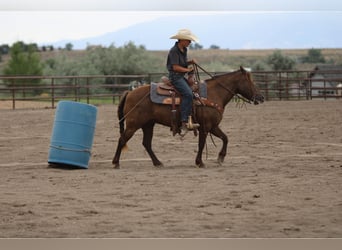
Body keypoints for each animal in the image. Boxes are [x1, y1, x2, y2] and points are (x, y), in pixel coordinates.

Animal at [112, 66, 264, 168]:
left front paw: (220, 158)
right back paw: (116, 163)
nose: (261, 97)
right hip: (133, 125)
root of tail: (129, 93)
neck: (213, 94)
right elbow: (201, 144)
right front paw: (200, 162)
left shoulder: (213, 126)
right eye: (250, 82)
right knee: (122, 139)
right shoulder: (205, 127)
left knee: (146, 143)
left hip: (148, 124)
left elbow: (225, 138)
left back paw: (158, 162)